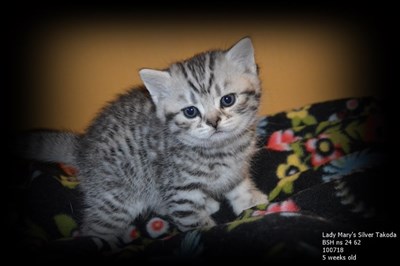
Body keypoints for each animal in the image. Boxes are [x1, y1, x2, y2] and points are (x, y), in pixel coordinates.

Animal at [19, 37, 268, 247]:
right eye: (190, 112)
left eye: (228, 100)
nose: (214, 122)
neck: (222, 148)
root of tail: (82, 147)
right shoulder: (179, 189)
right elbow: (193, 221)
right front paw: (208, 233)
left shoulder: (236, 168)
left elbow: (239, 186)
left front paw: (253, 202)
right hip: (115, 197)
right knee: (95, 230)